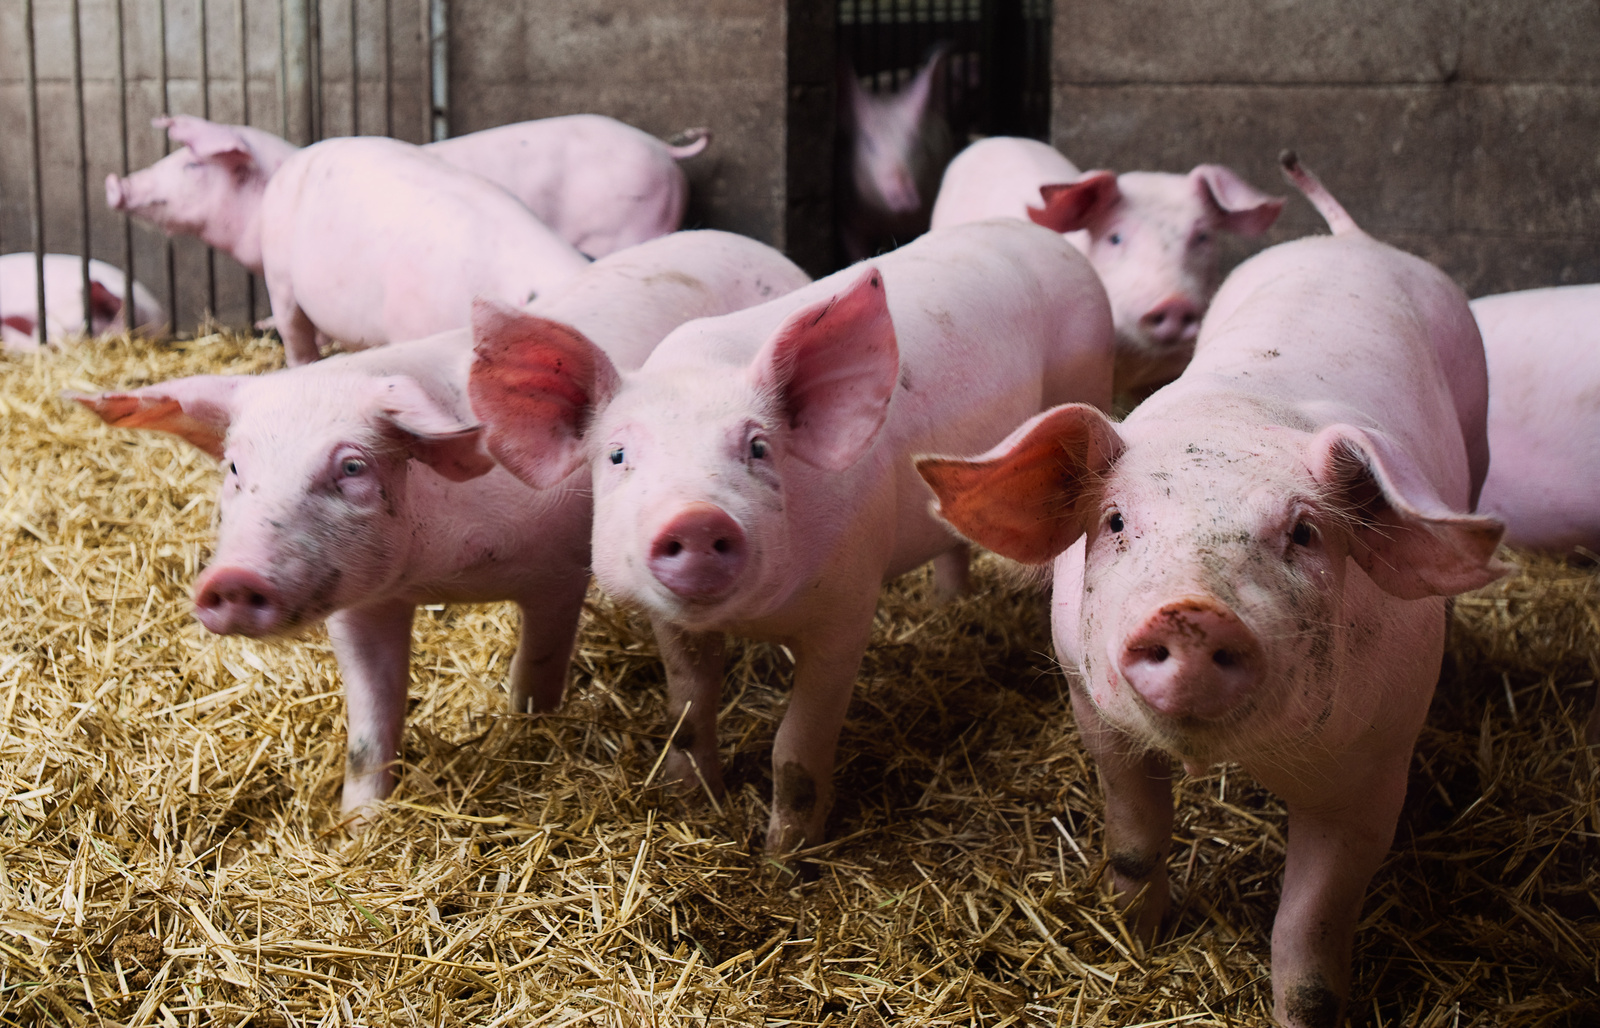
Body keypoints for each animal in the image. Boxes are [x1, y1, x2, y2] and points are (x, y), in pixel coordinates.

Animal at [73, 230, 811, 816]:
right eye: (234, 467)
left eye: (352, 467)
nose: (230, 579)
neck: (438, 572)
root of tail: (762, 248)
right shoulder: (363, 604)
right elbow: (370, 726)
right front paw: (358, 826)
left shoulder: (557, 569)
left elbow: (538, 667)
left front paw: (528, 726)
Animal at [470, 218, 1114, 853]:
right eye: (618, 455)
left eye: (758, 447)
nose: (697, 517)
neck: (753, 620)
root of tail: (1045, 236)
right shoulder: (672, 623)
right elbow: (687, 711)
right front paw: (691, 799)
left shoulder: (848, 610)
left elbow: (796, 750)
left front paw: (784, 859)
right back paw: (945, 604)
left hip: (1086, 382)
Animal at [836, 48, 955, 263]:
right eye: (870, 144)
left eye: (917, 142)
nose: (905, 192)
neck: (893, 219)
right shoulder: (847, 217)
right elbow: (856, 250)